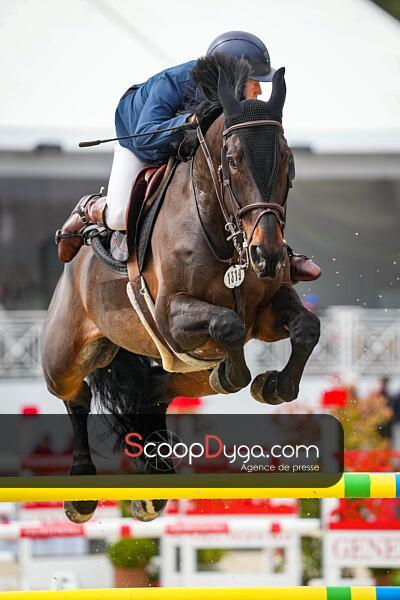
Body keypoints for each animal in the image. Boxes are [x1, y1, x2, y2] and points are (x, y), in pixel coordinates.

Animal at [41, 54, 320, 523]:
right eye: (232, 161)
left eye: (288, 159)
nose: (267, 256)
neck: (224, 236)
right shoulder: (171, 315)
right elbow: (227, 326)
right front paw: (235, 373)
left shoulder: (266, 313)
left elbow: (307, 328)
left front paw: (273, 386)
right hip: (62, 353)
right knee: (75, 395)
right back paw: (81, 490)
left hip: (177, 371)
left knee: (153, 392)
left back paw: (154, 480)